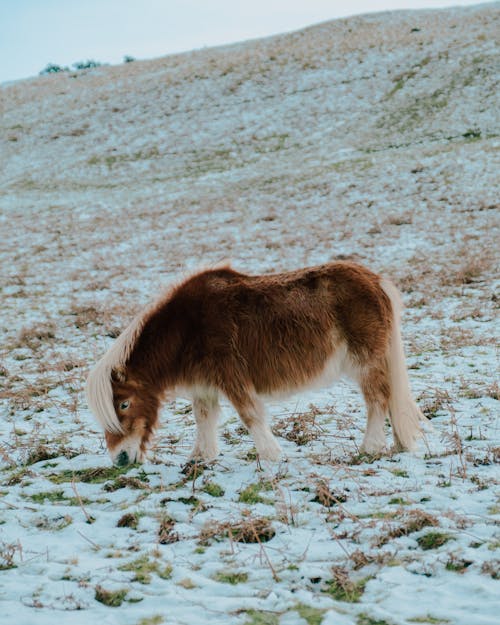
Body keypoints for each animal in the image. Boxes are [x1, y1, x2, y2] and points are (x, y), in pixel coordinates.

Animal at [86, 260, 426, 466]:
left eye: (124, 404)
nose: (119, 459)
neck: (187, 328)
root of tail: (375, 280)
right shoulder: (204, 386)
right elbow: (203, 418)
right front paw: (201, 457)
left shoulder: (231, 376)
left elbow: (250, 415)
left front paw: (273, 456)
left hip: (364, 363)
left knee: (377, 400)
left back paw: (370, 448)